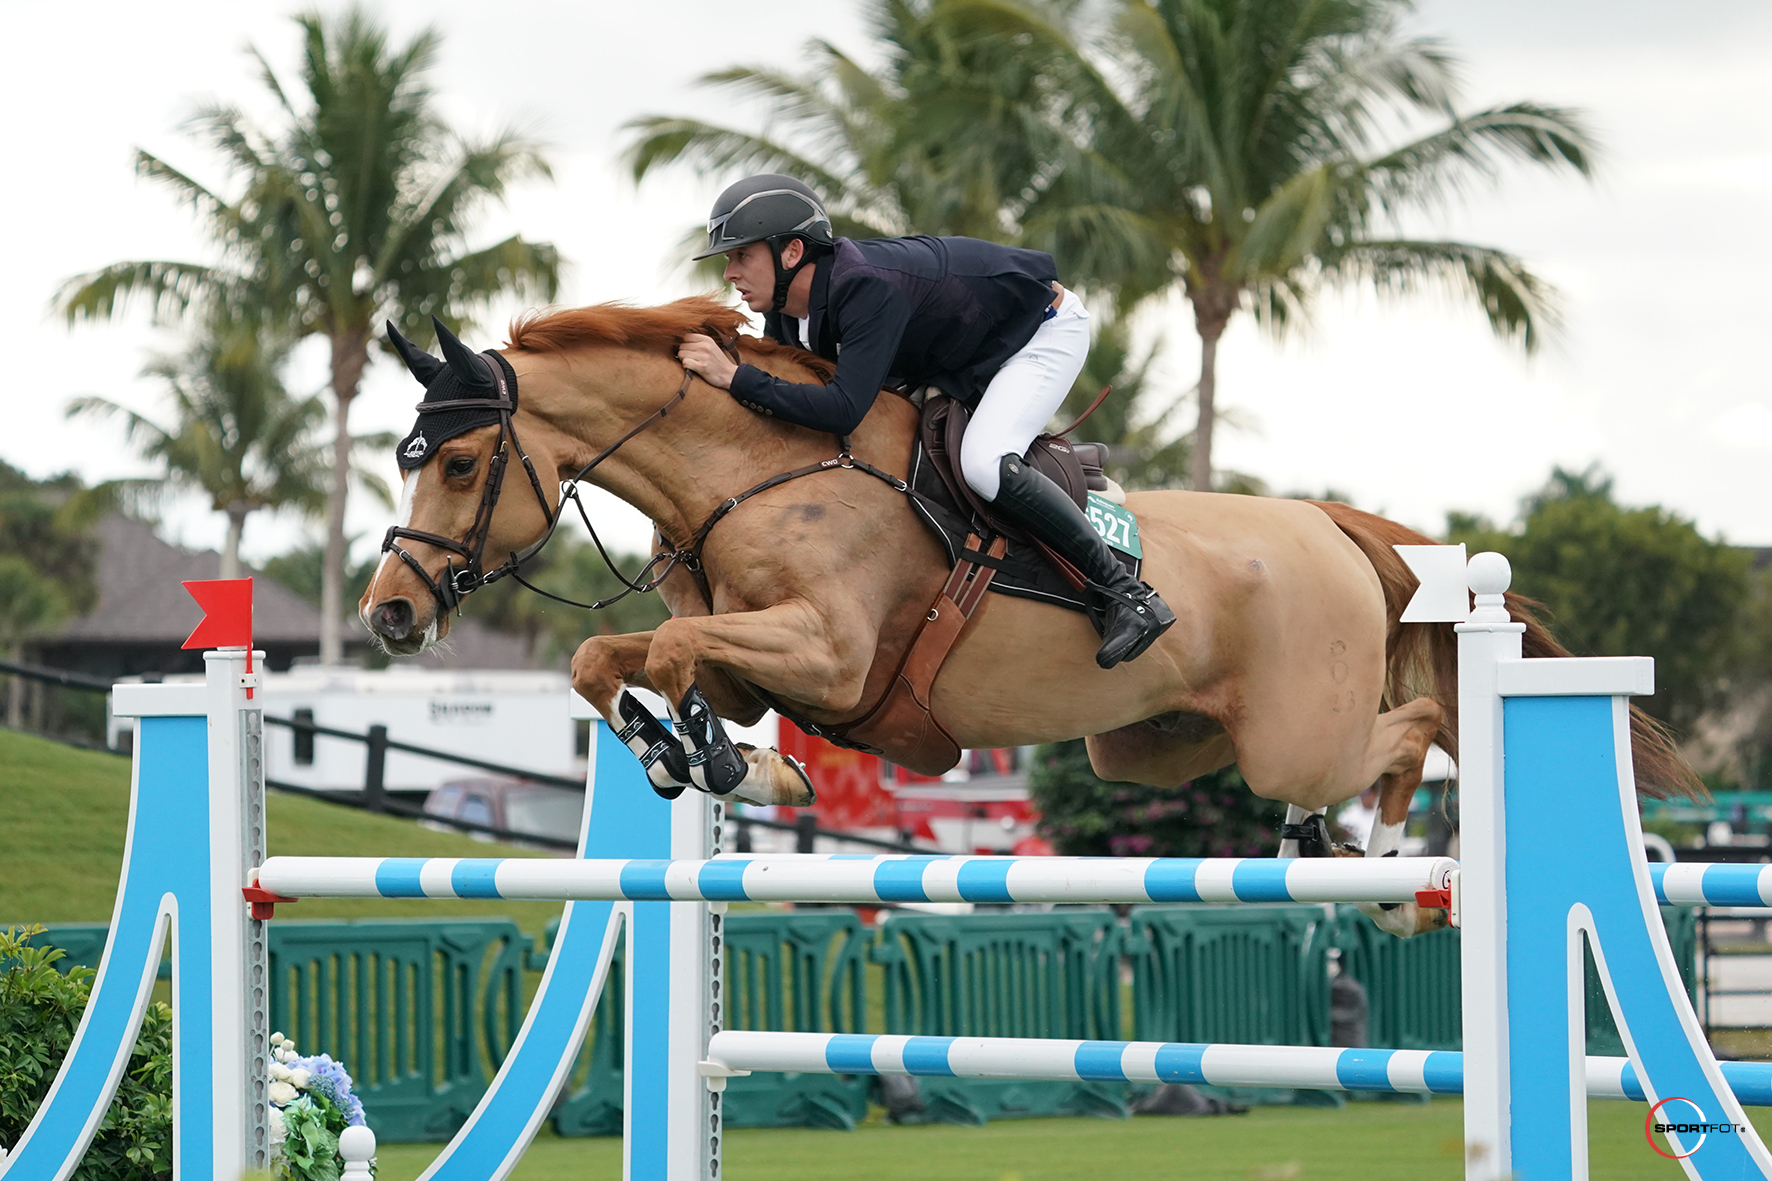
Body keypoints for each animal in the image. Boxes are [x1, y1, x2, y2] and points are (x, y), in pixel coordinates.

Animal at [360, 296, 1692, 937]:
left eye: (462, 463)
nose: (388, 615)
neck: (752, 469)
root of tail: (1325, 523)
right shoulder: (762, 661)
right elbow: (613, 654)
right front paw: (691, 754)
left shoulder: (832, 657)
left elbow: (681, 649)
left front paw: (731, 765)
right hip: (1151, 744)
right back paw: (1320, 847)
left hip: (1289, 733)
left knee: (1412, 725)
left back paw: (1372, 851)